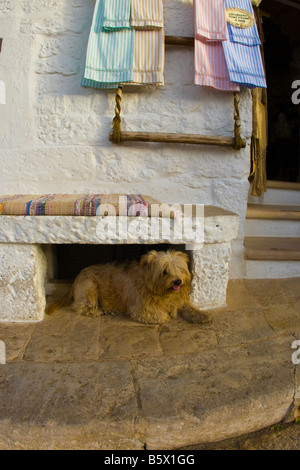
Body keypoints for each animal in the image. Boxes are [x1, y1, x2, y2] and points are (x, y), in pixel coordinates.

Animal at [46, 250, 206, 324]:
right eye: (165, 271)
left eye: (180, 269)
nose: (177, 282)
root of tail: (76, 279)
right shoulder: (142, 309)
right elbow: (160, 315)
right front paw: (167, 316)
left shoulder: (179, 300)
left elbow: (188, 307)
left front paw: (201, 315)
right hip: (89, 288)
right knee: (80, 307)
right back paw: (96, 311)